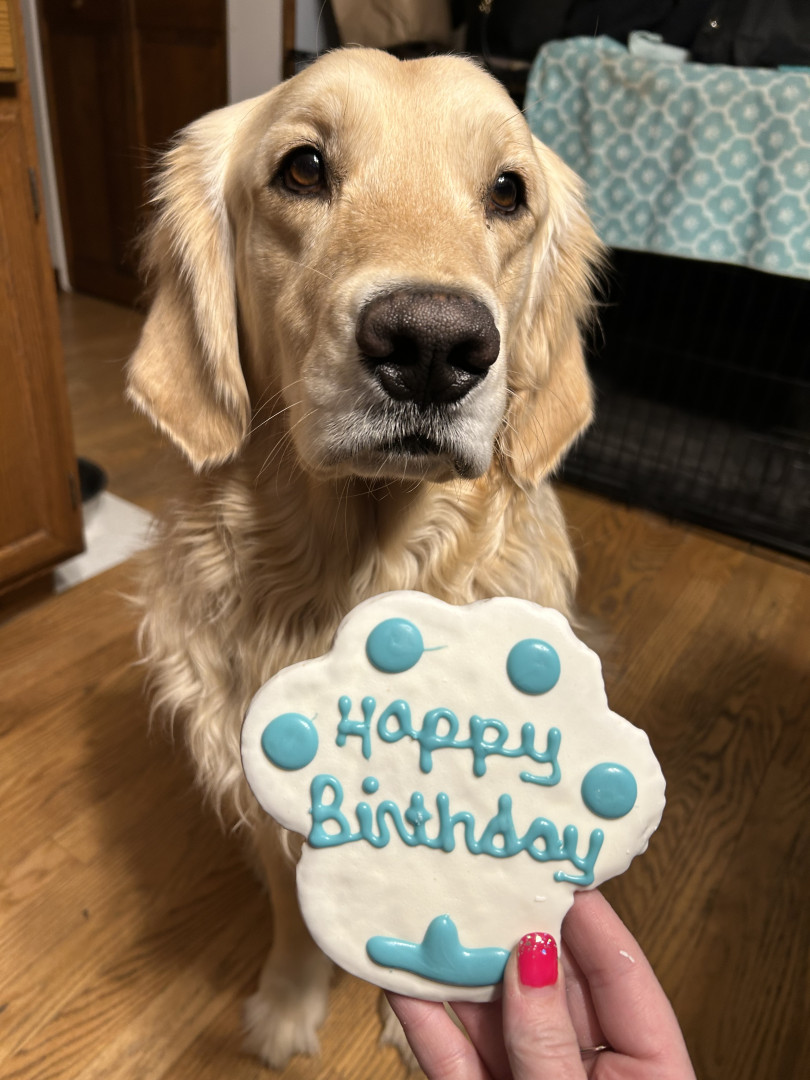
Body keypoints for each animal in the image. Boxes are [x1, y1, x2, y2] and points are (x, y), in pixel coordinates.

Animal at [127, 47, 601, 1069]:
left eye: (509, 190)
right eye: (303, 168)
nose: (433, 345)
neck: (361, 574)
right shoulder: (267, 793)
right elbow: (295, 918)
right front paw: (287, 1005)